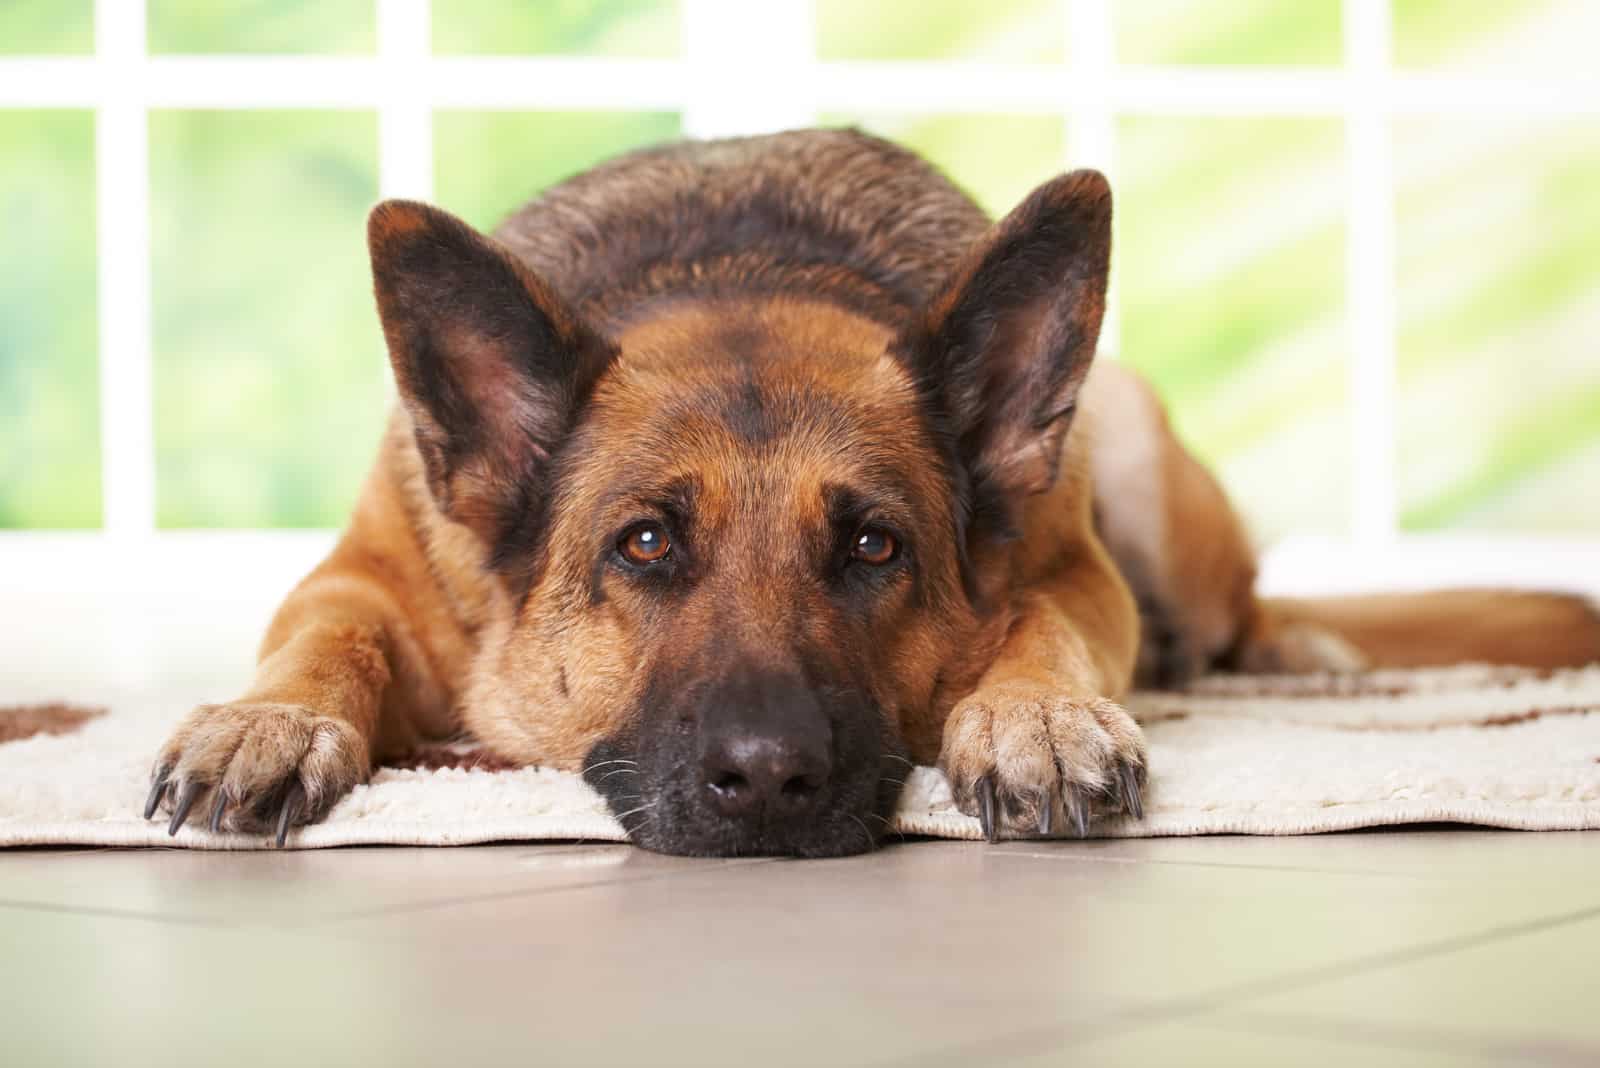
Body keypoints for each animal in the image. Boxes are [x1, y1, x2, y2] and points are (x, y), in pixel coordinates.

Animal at [140, 127, 1600, 856]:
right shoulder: (361, 572)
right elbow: (326, 637)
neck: (731, 263)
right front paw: (269, 722)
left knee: (1240, 614)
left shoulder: (1072, 570)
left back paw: (1300, 652)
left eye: (875, 548)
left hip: (1129, 427)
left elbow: (1045, 629)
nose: (770, 782)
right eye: (646, 543)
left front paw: (1032, 718)